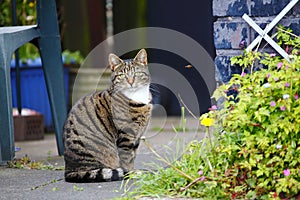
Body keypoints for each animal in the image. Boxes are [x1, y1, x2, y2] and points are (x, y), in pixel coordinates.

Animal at [63, 49, 152, 182]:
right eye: (122, 75)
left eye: (136, 73)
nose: (131, 82)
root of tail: (68, 171)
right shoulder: (126, 137)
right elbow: (127, 160)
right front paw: (130, 174)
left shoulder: (136, 137)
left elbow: (133, 156)